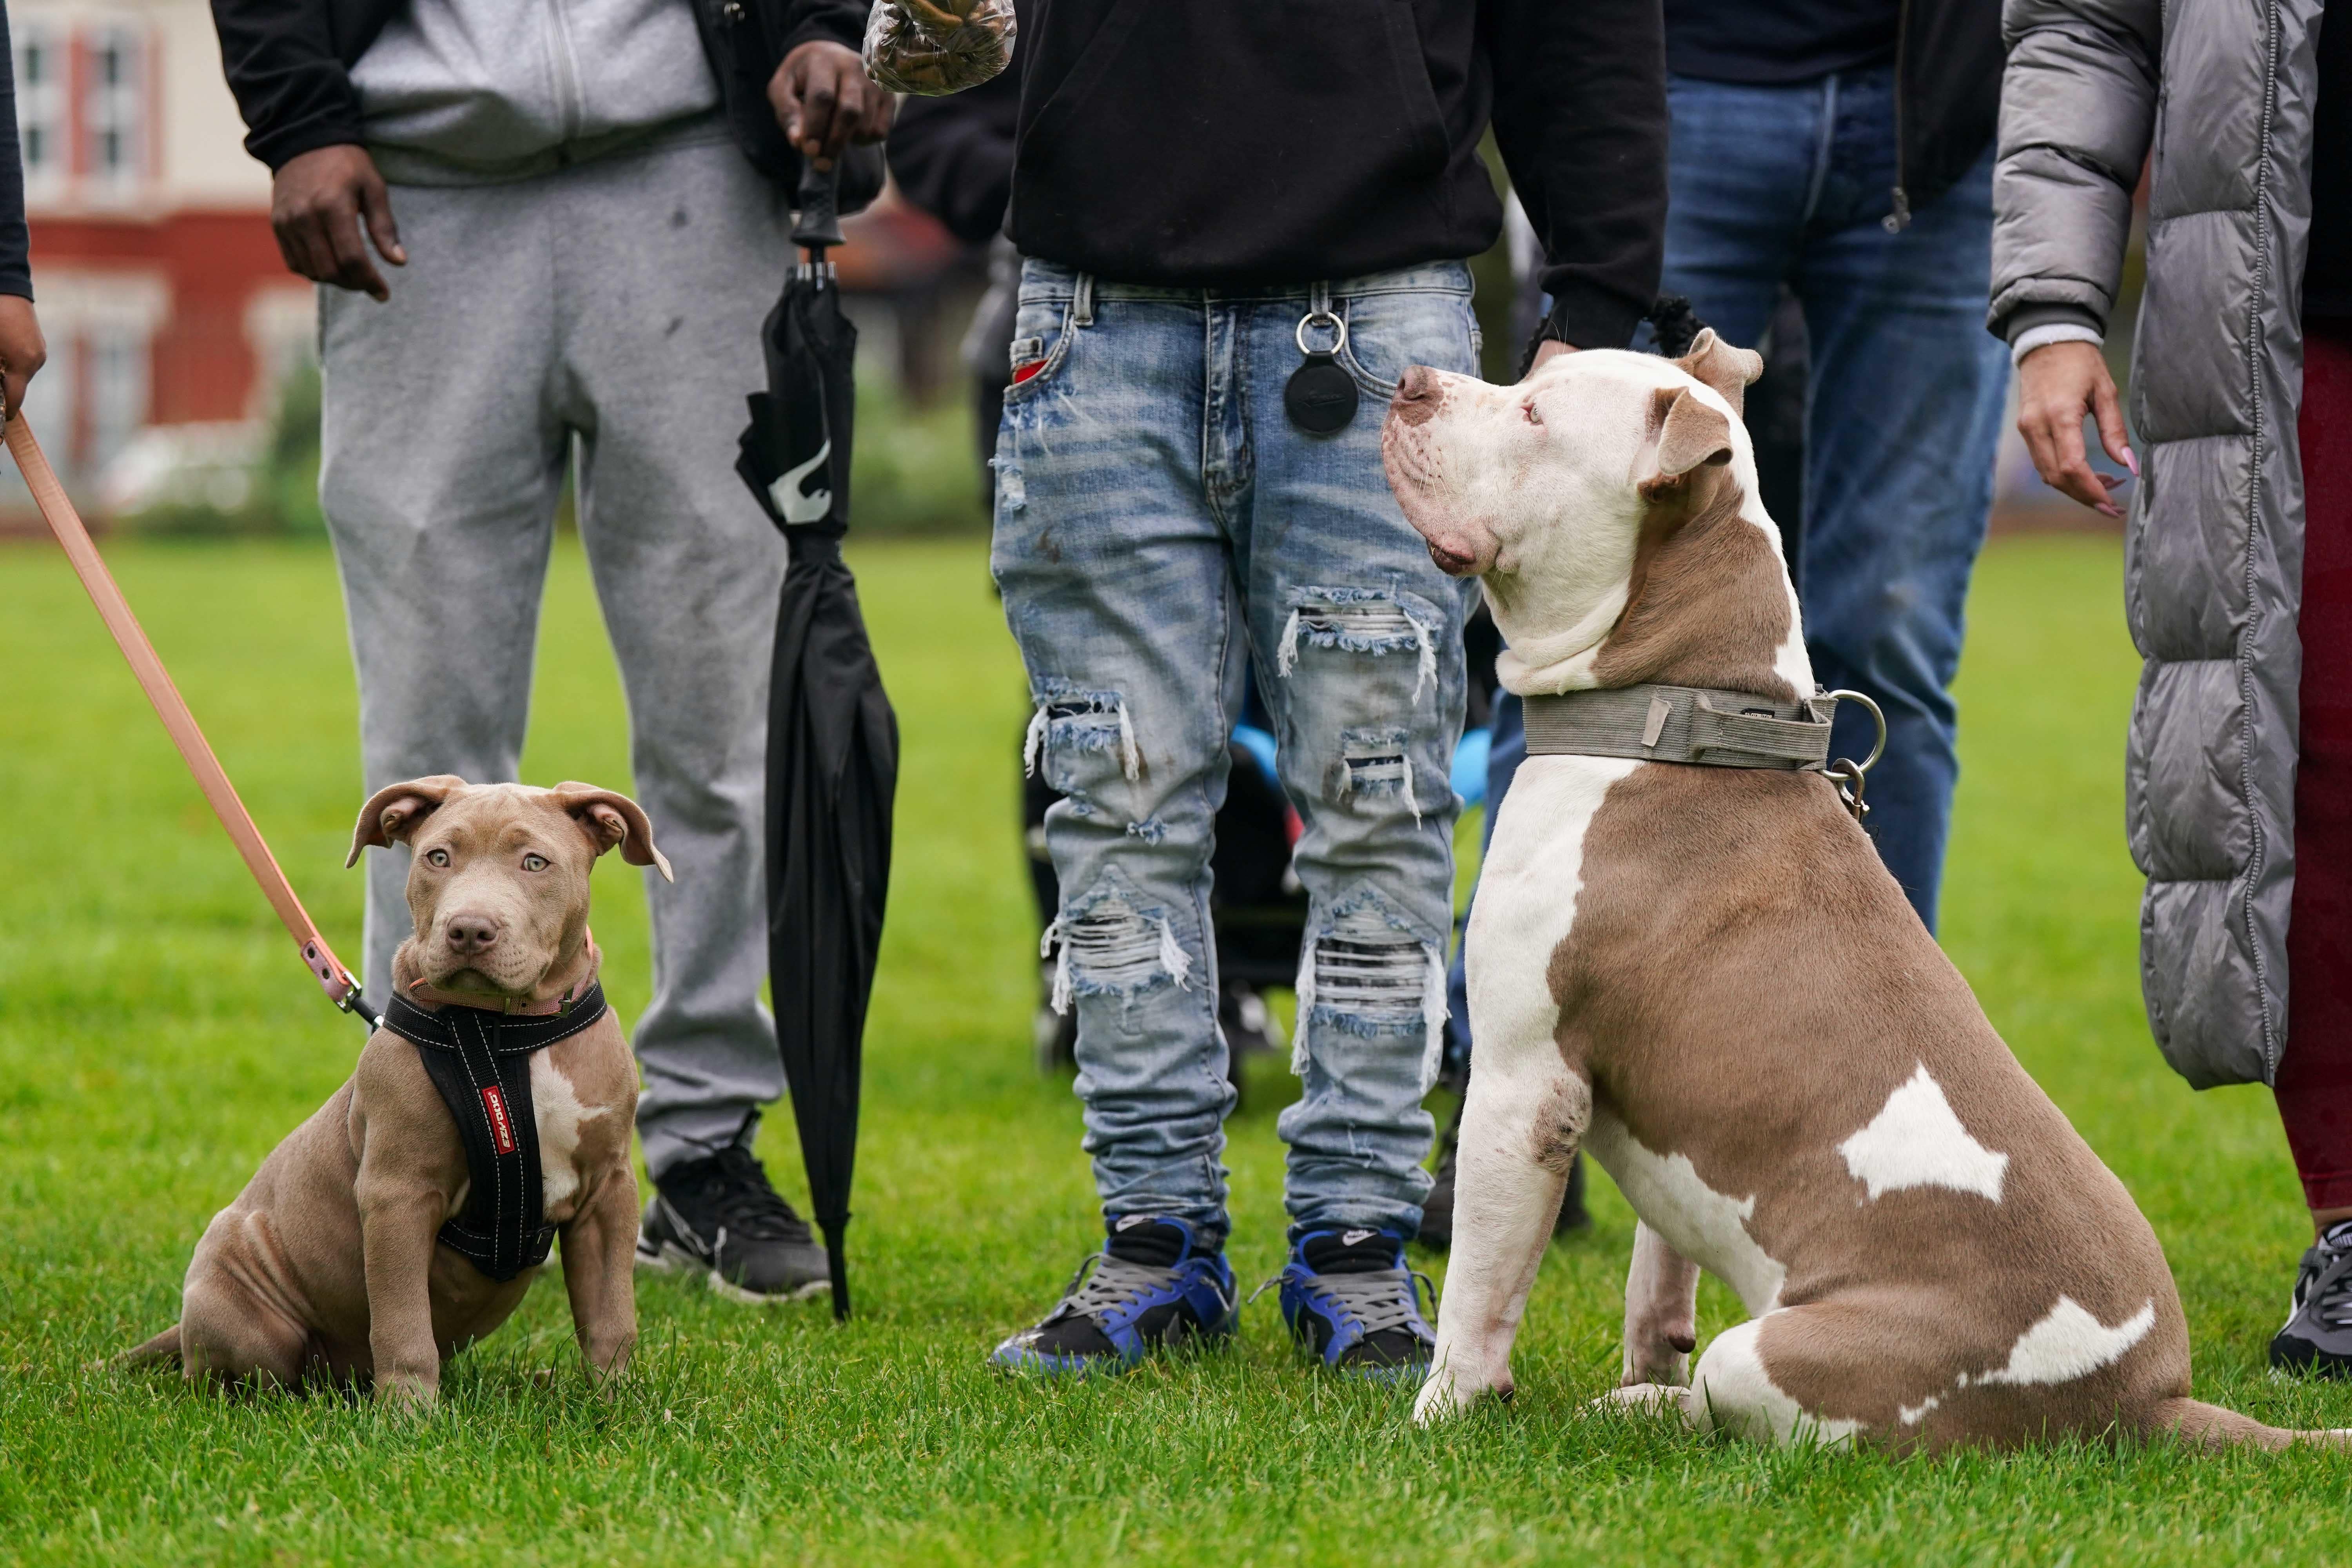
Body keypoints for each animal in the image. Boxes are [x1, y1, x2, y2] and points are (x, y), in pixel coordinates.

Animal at [127, 780, 668, 1401]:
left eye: (536, 863)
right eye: (439, 857)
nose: (469, 929)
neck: (504, 1032)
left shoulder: (608, 1190)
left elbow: (610, 1314)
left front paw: (616, 1400)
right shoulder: (398, 1193)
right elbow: (403, 1320)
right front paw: (409, 1414)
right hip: (245, 1306)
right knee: (233, 1376)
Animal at [1383, 338, 2343, 1457]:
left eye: (1535, 414)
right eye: (1535, 368)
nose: (1410, 383)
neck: (1673, 720)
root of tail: (2151, 1399)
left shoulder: (1522, 1082)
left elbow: (1480, 1292)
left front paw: (1439, 1413)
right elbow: (1657, 1277)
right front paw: (1637, 1364)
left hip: (1785, 1351)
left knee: (1749, 1400)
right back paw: (1641, 1403)